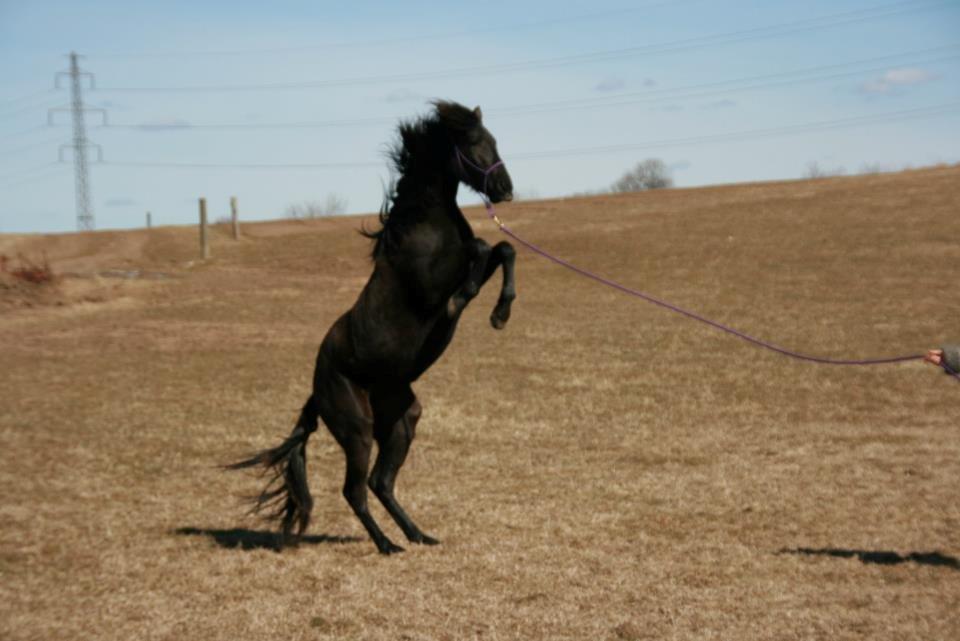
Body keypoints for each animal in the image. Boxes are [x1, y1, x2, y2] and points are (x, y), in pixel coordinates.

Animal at [231, 101, 516, 556]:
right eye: (474, 143)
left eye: (493, 139)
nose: (505, 189)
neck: (425, 224)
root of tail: (316, 392)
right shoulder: (432, 284)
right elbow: (483, 248)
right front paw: (470, 299)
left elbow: (503, 248)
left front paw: (500, 313)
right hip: (358, 430)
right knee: (355, 489)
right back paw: (388, 545)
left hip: (402, 420)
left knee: (381, 483)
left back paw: (419, 536)